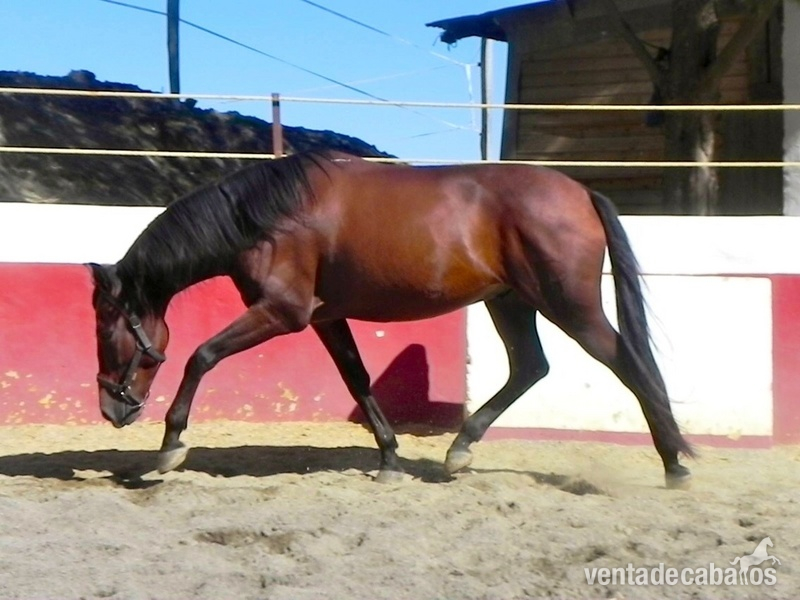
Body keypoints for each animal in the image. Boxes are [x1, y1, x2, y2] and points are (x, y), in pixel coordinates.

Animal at [89, 150, 694, 488]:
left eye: (105, 328)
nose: (111, 409)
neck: (268, 216)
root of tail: (582, 192)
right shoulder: (325, 319)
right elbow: (357, 379)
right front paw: (390, 459)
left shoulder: (281, 312)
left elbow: (201, 356)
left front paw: (171, 445)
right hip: (511, 301)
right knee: (531, 367)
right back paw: (460, 449)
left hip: (568, 304)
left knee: (628, 363)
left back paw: (674, 463)